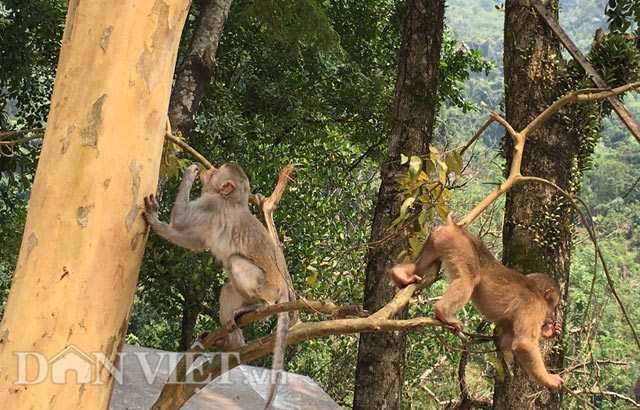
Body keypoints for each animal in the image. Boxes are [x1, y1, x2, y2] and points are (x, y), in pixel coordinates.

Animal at [142, 162, 296, 408]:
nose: (207, 172)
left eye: (215, 173)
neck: (231, 200)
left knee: (234, 261)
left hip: (266, 286)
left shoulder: (211, 205)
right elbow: (196, 243)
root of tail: (282, 287)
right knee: (228, 288)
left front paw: (188, 176)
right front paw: (158, 224)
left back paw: (260, 305)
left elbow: (181, 220)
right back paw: (233, 342)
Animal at [392, 215, 564, 390]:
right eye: (553, 305)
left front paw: (548, 332)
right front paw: (548, 379)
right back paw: (443, 312)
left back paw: (400, 275)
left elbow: (505, 340)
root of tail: (454, 228)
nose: (552, 316)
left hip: (438, 239)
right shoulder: (534, 307)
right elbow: (524, 343)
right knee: (470, 278)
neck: (536, 292)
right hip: (460, 246)